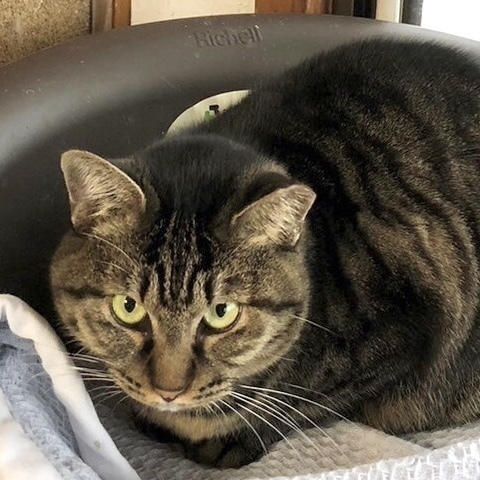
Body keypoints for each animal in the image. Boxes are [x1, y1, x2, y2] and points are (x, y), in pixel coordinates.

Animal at [50, 37, 480, 468]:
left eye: (222, 313)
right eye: (128, 307)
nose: (168, 391)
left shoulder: (406, 335)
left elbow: (306, 406)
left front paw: (230, 441)